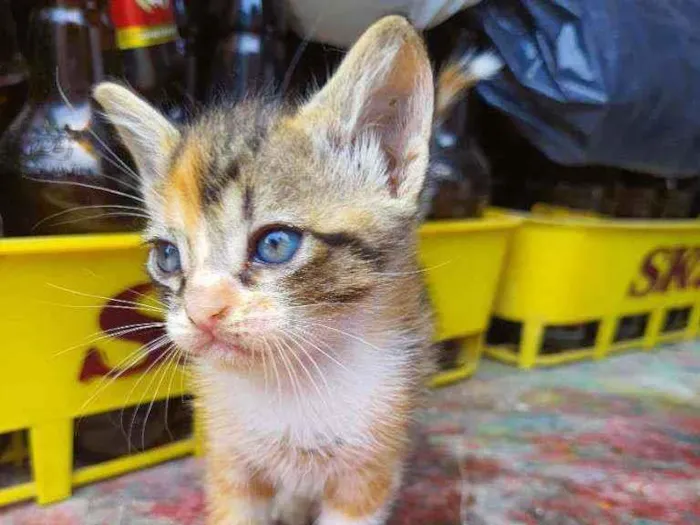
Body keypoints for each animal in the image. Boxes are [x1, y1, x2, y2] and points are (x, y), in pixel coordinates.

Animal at [94, 15, 492, 524]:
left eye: (275, 244)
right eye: (167, 256)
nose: (201, 311)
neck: (292, 381)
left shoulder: (368, 471)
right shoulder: (228, 458)